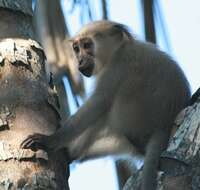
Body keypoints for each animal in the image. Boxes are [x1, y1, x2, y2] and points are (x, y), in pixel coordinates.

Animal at [20, 20, 191, 190]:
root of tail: (163, 125)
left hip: (133, 118)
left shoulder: (118, 65)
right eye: (77, 49)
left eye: (87, 45)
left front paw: (50, 140)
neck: (120, 48)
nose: (80, 61)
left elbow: (99, 102)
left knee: (104, 110)